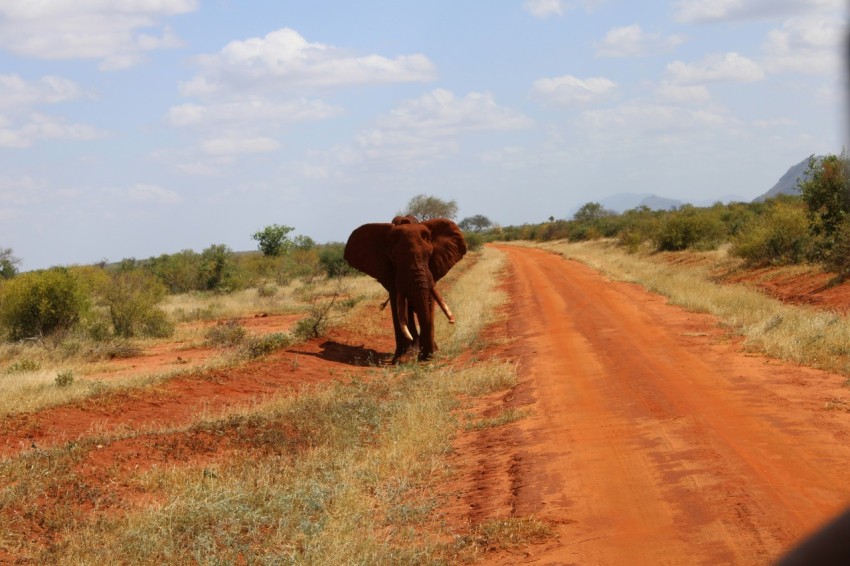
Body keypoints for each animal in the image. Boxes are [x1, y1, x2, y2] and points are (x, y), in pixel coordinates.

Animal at [342, 217, 468, 364]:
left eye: (429, 255)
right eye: (394, 259)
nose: (451, 322)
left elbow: (429, 301)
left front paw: (429, 355)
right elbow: (398, 304)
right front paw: (403, 359)